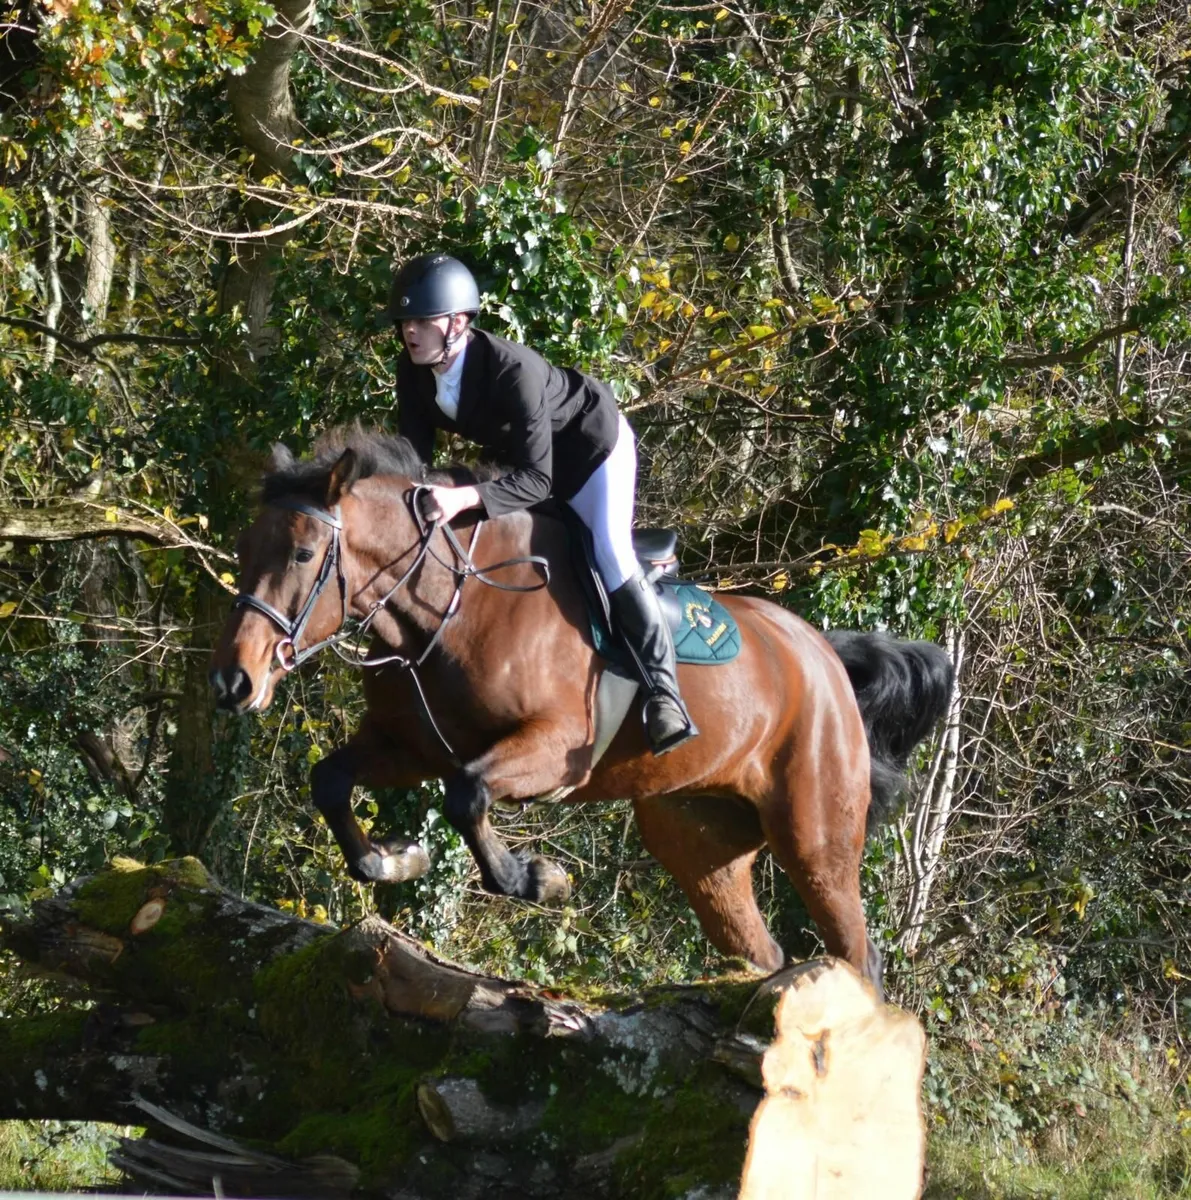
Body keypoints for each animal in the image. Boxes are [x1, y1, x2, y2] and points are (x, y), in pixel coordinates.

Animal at [209, 428, 954, 994]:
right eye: (245, 549)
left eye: (304, 552)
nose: (233, 682)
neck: (451, 607)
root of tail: (820, 654)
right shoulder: (410, 747)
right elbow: (332, 781)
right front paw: (396, 861)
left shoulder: (552, 749)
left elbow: (467, 796)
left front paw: (539, 878)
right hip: (698, 839)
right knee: (760, 949)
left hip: (814, 836)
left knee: (856, 951)